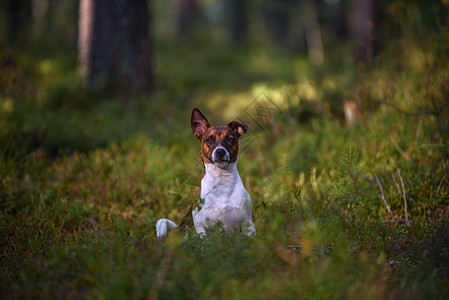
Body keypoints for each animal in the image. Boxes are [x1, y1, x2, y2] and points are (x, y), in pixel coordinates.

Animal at [156, 108, 256, 237]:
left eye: (230, 139)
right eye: (208, 140)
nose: (220, 152)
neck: (222, 181)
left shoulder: (248, 224)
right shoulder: (201, 228)